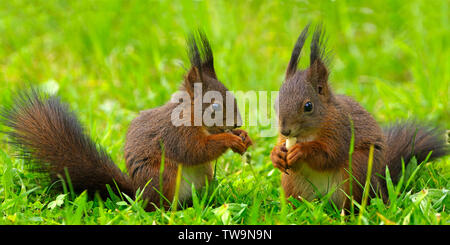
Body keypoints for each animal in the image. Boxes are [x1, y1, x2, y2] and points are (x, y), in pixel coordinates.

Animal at [0, 30, 253, 211]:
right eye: (215, 105)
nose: (238, 124)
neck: (192, 118)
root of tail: (136, 194)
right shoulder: (175, 134)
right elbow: (195, 150)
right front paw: (230, 139)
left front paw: (244, 137)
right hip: (162, 175)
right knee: (159, 207)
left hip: (204, 176)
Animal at [270, 24, 450, 212]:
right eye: (276, 103)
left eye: (308, 106)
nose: (285, 130)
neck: (307, 134)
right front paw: (276, 154)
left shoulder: (341, 132)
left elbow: (328, 156)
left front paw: (301, 151)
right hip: (291, 182)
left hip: (358, 168)